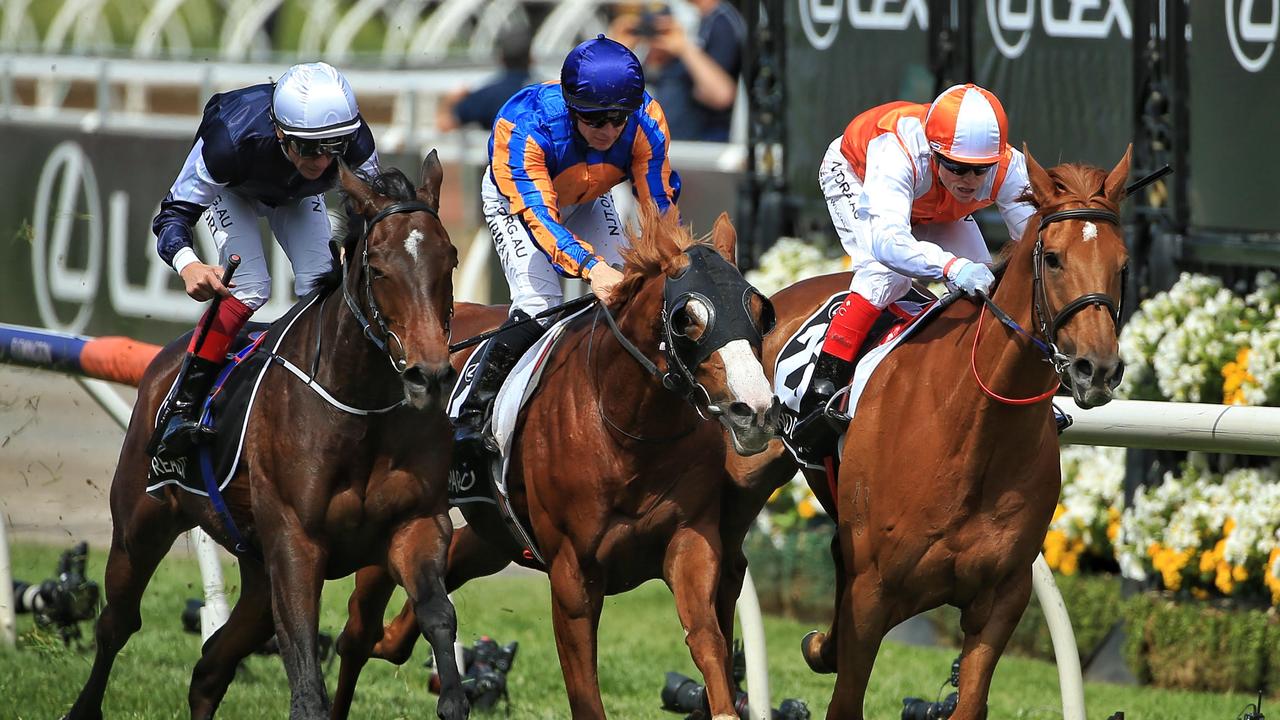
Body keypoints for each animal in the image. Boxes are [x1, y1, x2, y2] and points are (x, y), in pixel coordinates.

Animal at [330, 203, 778, 717]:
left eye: (760, 311)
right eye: (688, 318)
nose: (755, 410)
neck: (627, 432)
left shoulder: (691, 541)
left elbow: (708, 640)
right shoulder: (571, 575)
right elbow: (585, 693)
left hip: (491, 537)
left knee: (419, 603)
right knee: (356, 635)